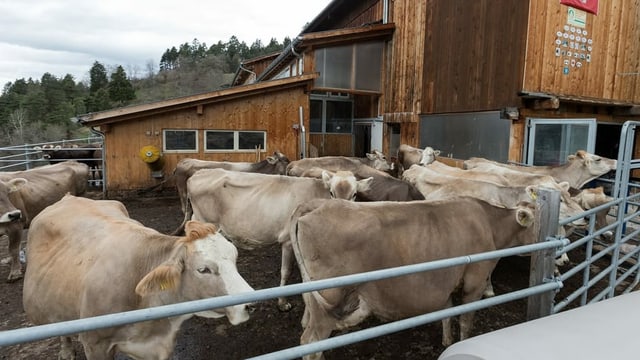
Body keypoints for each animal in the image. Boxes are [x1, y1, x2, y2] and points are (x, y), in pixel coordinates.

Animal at [180, 167, 370, 310]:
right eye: (331, 192)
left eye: (354, 194)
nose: (341, 209)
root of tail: (199, 173)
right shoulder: (288, 240)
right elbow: (286, 271)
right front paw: (283, 302)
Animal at [288, 197, 536, 360]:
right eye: (537, 221)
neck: (489, 223)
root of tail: (319, 204)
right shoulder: (474, 280)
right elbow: (466, 320)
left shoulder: (444, 284)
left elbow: (447, 312)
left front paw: (446, 341)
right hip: (329, 297)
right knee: (311, 341)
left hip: (315, 300)